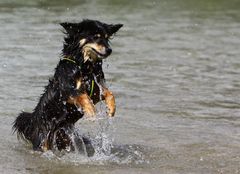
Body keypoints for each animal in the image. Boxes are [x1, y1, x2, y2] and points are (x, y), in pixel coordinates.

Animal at [12, 19, 123, 155]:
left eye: (107, 38)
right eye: (96, 37)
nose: (109, 50)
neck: (86, 67)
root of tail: (32, 121)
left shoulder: (96, 91)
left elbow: (109, 93)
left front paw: (111, 109)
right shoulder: (66, 92)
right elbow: (81, 95)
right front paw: (91, 111)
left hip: (64, 137)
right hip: (43, 139)